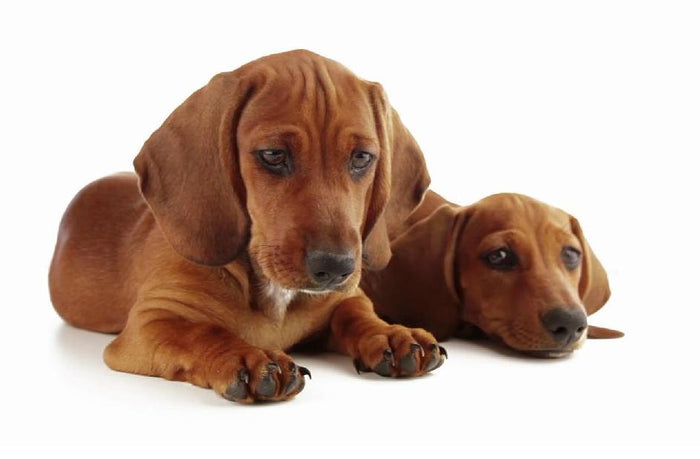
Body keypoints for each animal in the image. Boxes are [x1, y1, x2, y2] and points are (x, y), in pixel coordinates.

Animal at [49, 50, 446, 403]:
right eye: (273, 155)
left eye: (362, 158)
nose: (336, 268)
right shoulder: (151, 322)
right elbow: (201, 332)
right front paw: (249, 358)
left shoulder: (344, 298)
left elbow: (356, 313)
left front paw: (390, 334)